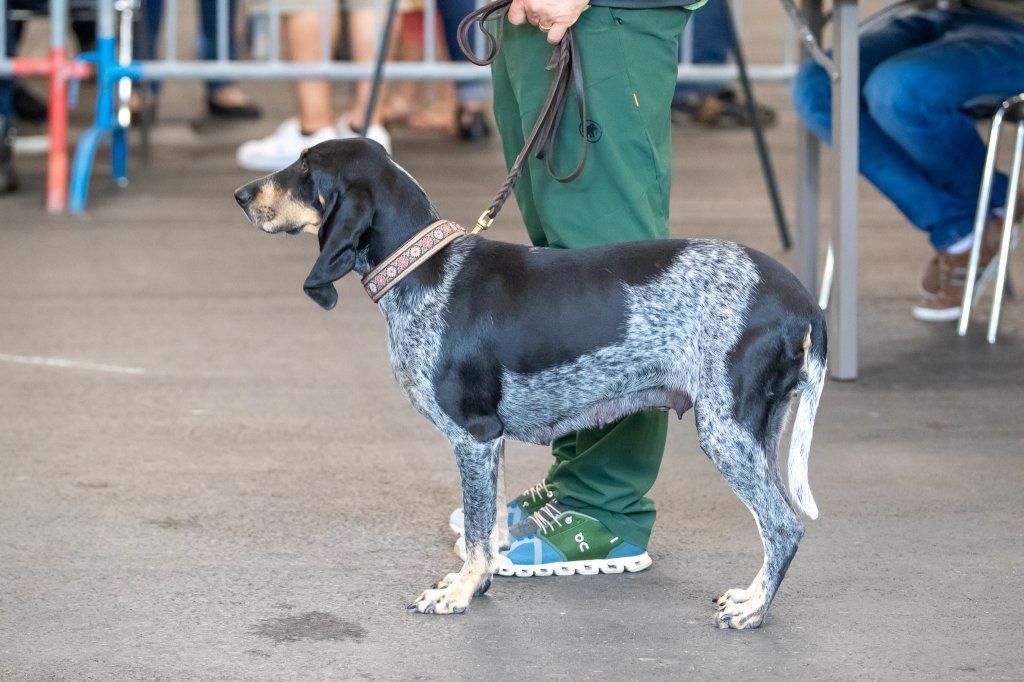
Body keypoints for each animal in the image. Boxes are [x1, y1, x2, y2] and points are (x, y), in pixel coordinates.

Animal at [234, 138, 823, 626]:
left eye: (305, 168)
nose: (240, 195)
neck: (424, 270)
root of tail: (802, 302)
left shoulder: (472, 435)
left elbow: (476, 535)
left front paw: (459, 594)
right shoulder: (488, 442)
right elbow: (488, 525)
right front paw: (477, 583)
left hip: (726, 432)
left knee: (783, 526)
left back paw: (753, 611)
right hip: (757, 433)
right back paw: (750, 595)